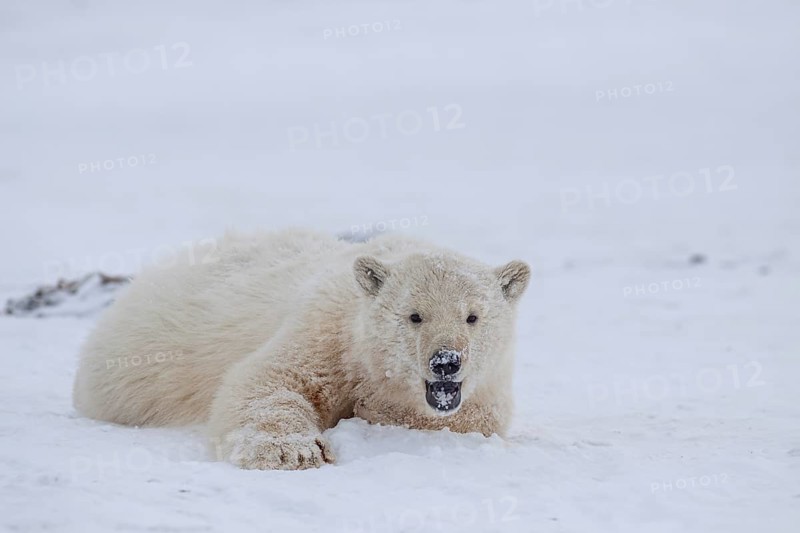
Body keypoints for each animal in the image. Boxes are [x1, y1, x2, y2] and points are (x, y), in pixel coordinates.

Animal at [73, 228, 530, 470]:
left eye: (472, 317)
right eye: (415, 315)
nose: (445, 362)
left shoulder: (488, 388)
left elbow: (473, 417)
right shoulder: (324, 329)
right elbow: (270, 380)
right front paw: (293, 452)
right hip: (135, 359)